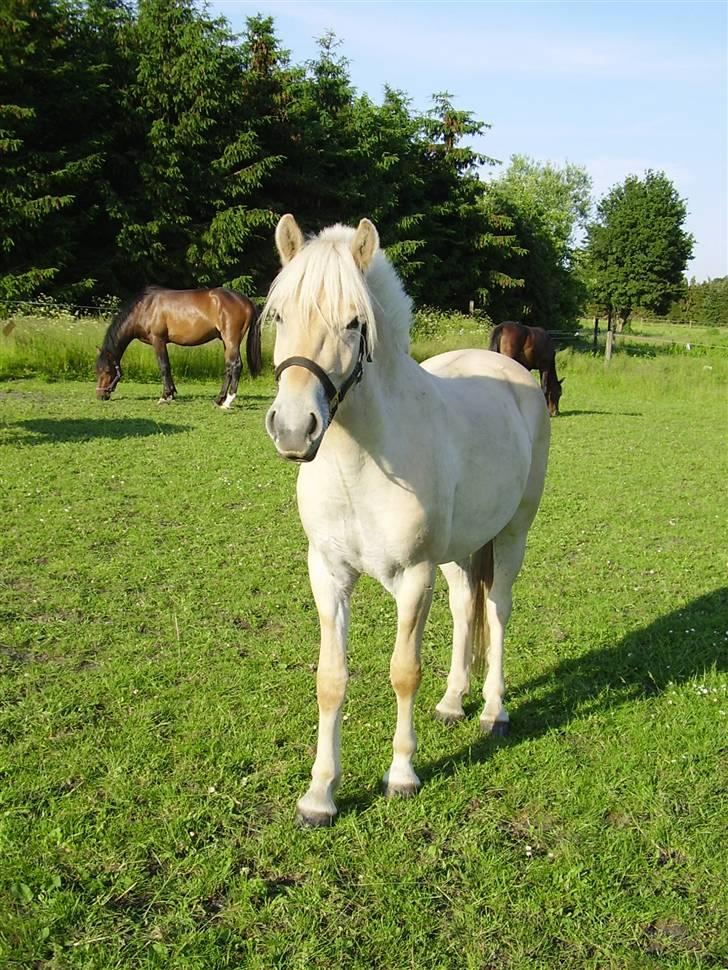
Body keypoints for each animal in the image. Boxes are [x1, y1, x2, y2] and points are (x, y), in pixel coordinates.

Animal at [95, 286, 261, 407]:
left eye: (107, 371)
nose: (100, 395)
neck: (145, 308)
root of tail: (246, 301)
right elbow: (168, 367)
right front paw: (172, 393)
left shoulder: (158, 340)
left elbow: (163, 366)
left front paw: (165, 396)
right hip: (226, 343)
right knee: (229, 367)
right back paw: (219, 399)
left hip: (231, 340)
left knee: (236, 365)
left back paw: (228, 402)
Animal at [264, 215, 550, 826]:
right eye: (279, 316)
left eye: (355, 322)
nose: (295, 428)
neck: (363, 463)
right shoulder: (328, 574)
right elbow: (331, 679)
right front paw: (319, 794)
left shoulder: (414, 578)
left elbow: (403, 671)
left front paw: (401, 776)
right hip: (458, 552)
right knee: (466, 606)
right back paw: (452, 702)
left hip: (511, 535)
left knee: (497, 609)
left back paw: (493, 711)